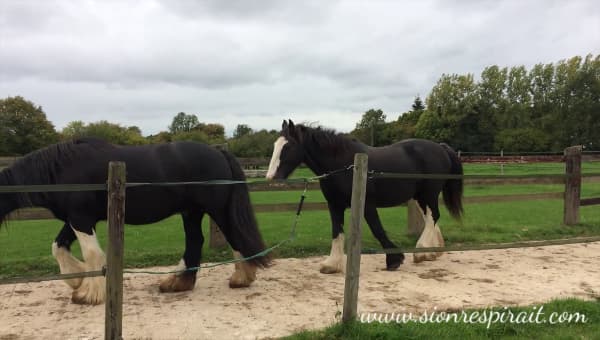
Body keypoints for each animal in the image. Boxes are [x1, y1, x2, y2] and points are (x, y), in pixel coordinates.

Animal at [0, 138, 268, 306]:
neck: (61, 170)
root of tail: (218, 151)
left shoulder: (81, 219)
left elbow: (92, 254)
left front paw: (87, 294)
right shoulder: (76, 219)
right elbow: (58, 247)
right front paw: (77, 280)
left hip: (216, 209)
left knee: (233, 235)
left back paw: (241, 278)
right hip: (191, 212)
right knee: (195, 240)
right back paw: (178, 282)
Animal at [268, 119, 464, 274]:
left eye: (288, 146)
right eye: (275, 145)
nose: (271, 178)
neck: (344, 165)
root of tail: (441, 147)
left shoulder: (367, 204)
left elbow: (377, 229)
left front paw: (394, 259)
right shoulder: (334, 205)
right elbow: (336, 232)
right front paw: (332, 264)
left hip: (428, 194)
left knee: (433, 217)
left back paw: (422, 251)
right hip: (419, 197)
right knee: (430, 218)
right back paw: (432, 252)